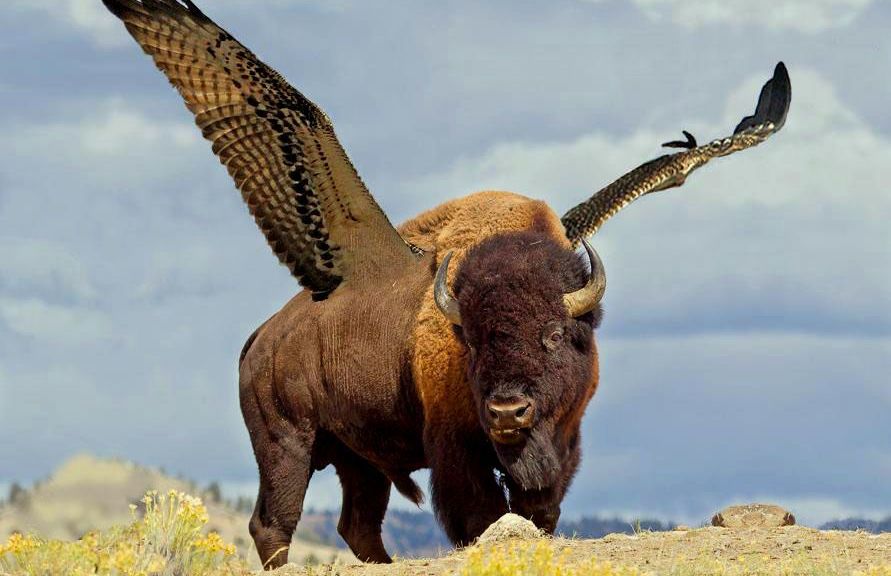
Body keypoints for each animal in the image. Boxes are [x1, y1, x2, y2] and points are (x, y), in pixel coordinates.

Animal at [102, 0, 790, 568]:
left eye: (554, 335)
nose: (509, 412)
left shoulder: (561, 444)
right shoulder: (457, 452)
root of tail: (261, 337)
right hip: (287, 444)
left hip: (358, 460)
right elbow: (476, 515)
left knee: (357, 525)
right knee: (275, 523)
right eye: (474, 340)